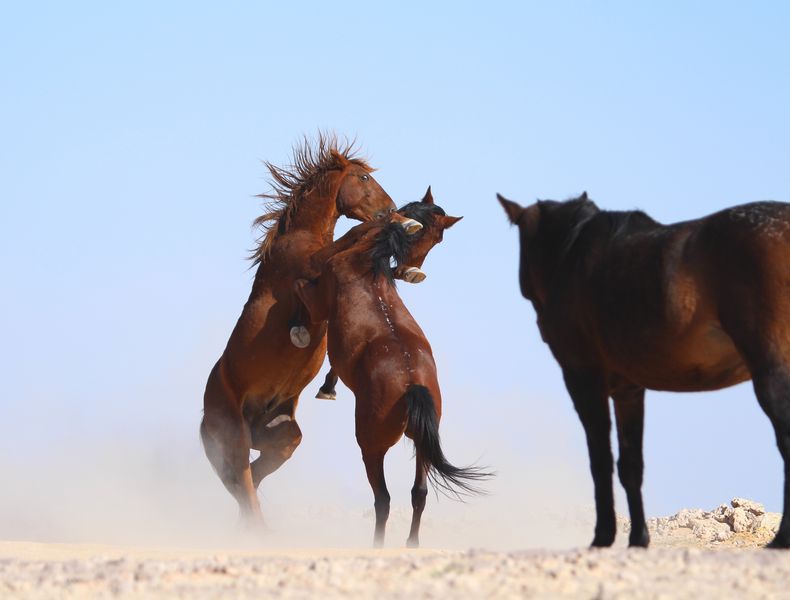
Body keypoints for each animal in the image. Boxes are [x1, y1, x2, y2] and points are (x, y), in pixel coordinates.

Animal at [198, 136, 396, 520]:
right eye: (364, 177)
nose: (391, 210)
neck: (303, 234)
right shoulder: (312, 266)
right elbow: (351, 236)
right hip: (233, 436)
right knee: (244, 482)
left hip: (281, 435)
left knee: (252, 479)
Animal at [296, 213, 488, 548]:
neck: (366, 265)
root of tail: (413, 386)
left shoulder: (319, 302)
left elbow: (302, 291)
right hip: (423, 446)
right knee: (419, 493)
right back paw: (411, 543)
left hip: (372, 446)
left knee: (383, 499)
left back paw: (377, 543)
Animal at [498, 192, 790, 548]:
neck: (573, 255)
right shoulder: (628, 390)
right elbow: (630, 465)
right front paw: (638, 538)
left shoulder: (584, 379)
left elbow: (601, 460)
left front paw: (603, 536)